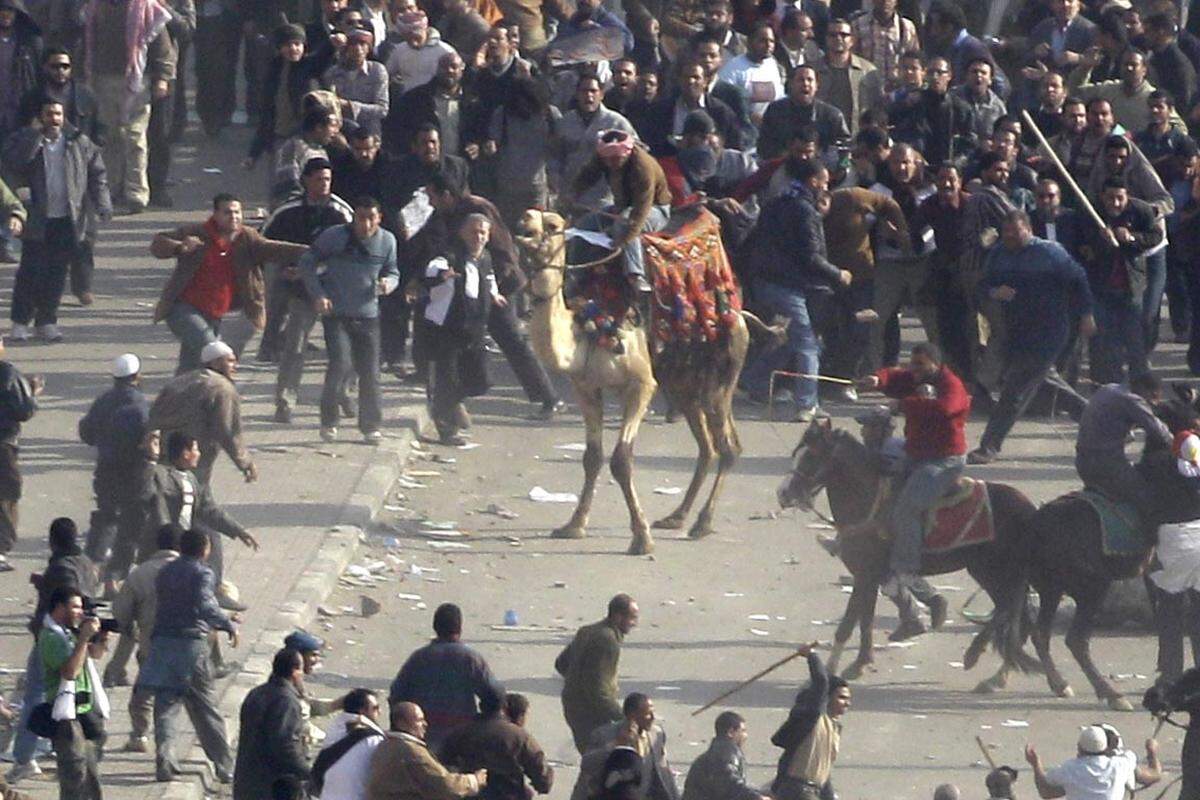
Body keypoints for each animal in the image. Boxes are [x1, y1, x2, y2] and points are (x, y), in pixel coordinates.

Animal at [513, 209, 777, 554]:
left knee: (728, 446)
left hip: (720, 380)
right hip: (683, 386)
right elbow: (591, 458)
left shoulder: (640, 384)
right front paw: (573, 525)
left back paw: (702, 523)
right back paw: (676, 516)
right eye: (527, 218)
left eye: (553, 225)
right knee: (707, 447)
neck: (587, 328)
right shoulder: (586, 387)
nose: (524, 225)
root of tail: (741, 315)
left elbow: (621, 461)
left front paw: (641, 538)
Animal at [777, 422, 1041, 690]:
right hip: (990, 572)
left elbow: (849, 622)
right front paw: (860, 663)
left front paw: (832, 671)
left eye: (811, 457)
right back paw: (996, 674)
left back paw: (981, 661)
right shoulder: (869, 576)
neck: (869, 500)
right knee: (1015, 614)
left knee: (1012, 613)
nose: (784, 493)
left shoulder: (866, 574)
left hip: (996, 571)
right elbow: (865, 619)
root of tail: (1030, 509)